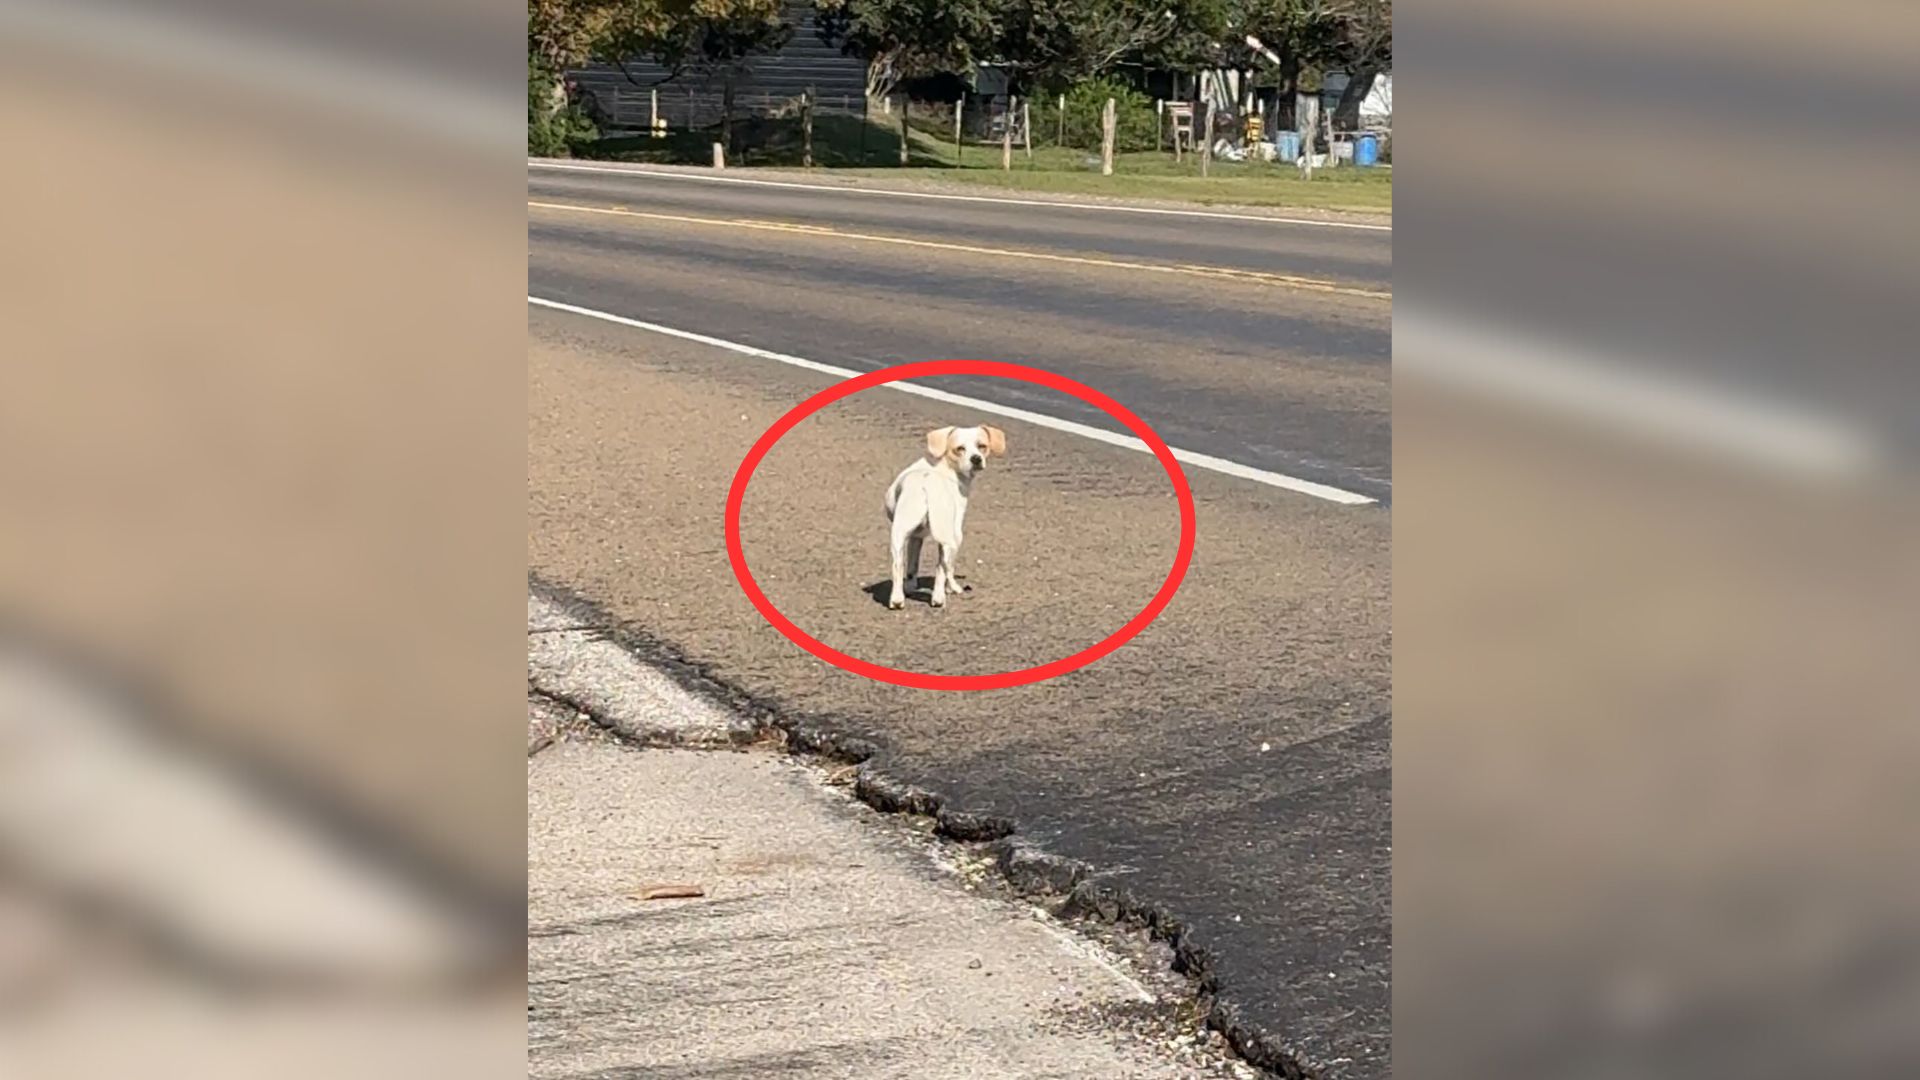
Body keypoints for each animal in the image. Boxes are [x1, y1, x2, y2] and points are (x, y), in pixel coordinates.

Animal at [883, 422, 1006, 607]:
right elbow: (948, 568)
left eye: (982, 446)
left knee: (898, 565)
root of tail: (927, 485)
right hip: (952, 536)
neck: (945, 465)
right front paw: (951, 588)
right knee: (942, 567)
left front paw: (910, 586)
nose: (976, 458)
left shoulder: (915, 537)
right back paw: (939, 597)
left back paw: (897, 600)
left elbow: (912, 565)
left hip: (899, 533)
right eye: (960, 448)